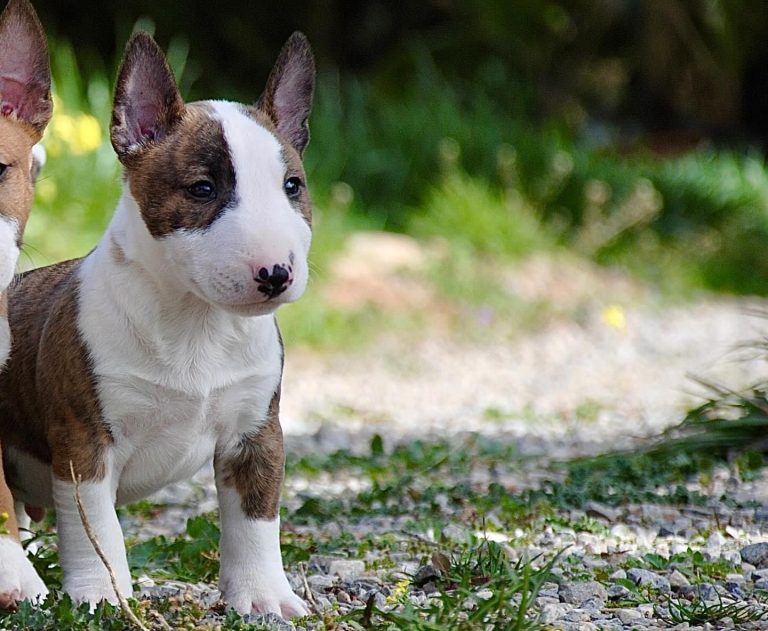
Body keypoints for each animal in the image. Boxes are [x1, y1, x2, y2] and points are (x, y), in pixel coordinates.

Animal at [0, 28, 316, 616]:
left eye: (292, 187)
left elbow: (256, 520)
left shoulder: (256, 434)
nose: (276, 273)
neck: (196, 322)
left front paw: (265, 595)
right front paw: (102, 595)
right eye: (201, 189)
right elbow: (96, 531)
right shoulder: (85, 443)